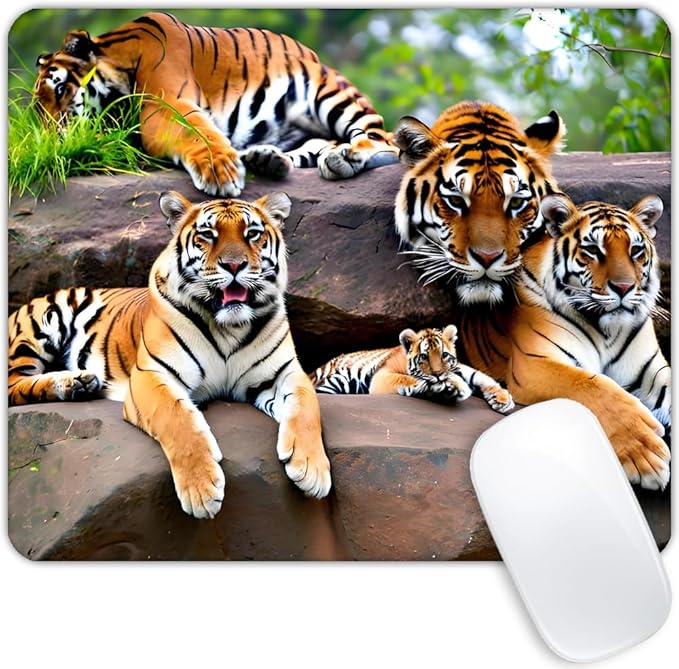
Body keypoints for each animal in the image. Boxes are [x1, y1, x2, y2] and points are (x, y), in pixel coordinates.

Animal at [8, 190, 332, 518]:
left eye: (252, 234)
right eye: (207, 235)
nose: (234, 265)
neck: (229, 326)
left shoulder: (286, 373)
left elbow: (307, 408)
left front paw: (312, 470)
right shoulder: (152, 374)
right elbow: (176, 418)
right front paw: (202, 490)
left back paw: (81, 383)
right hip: (42, 323)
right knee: (13, 385)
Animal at [33, 11, 399, 197]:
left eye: (61, 89)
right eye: (39, 112)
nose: (51, 145)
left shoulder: (168, 102)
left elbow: (197, 132)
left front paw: (220, 172)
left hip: (331, 93)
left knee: (385, 141)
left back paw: (345, 157)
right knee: (311, 149)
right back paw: (268, 159)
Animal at [310, 324, 514, 414]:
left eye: (444, 355)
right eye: (424, 356)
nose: (438, 375)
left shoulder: (461, 368)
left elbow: (480, 376)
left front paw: (503, 399)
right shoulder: (382, 376)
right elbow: (408, 378)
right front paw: (452, 386)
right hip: (337, 379)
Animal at [485, 192, 671, 490]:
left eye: (635, 251)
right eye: (593, 250)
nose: (624, 287)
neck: (607, 329)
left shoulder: (652, 372)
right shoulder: (533, 364)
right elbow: (590, 385)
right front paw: (644, 453)